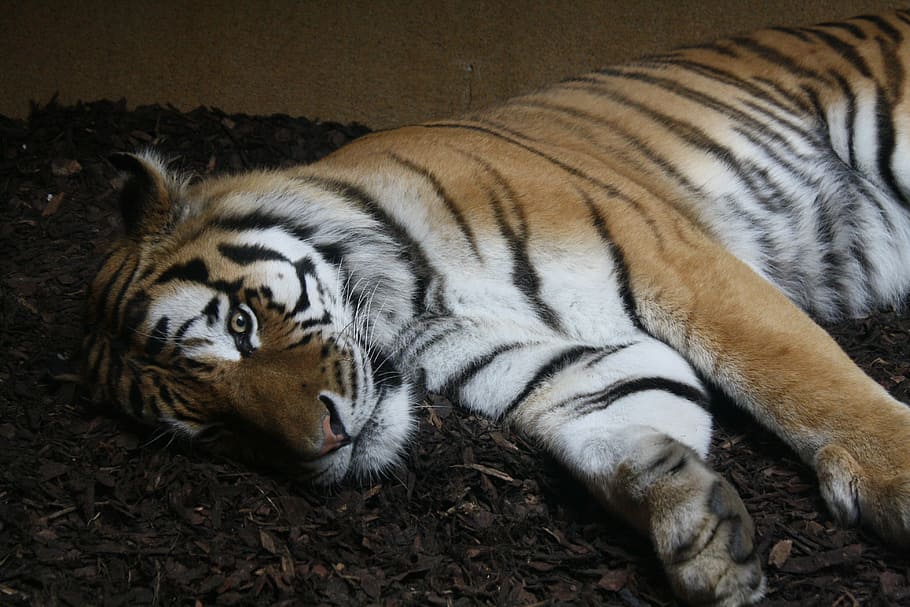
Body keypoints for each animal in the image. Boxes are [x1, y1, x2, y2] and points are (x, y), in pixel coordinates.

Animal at [82, 10, 910, 607]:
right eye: (216, 429)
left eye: (241, 327)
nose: (324, 442)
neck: (409, 309)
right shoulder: (575, 365)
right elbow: (627, 436)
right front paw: (701, 528)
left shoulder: (675, 262)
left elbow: (801, 377)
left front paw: (896, 478)